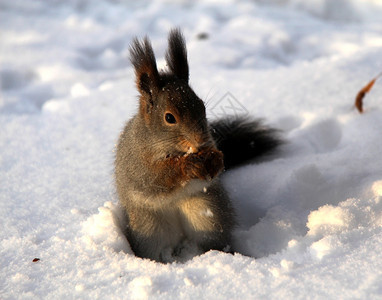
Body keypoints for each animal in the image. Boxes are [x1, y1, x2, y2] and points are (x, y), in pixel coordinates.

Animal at [113, 28, 280, 262]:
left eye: (202, 106)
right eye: (169, 117)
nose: (200, 139)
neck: (173, 149)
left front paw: (216, 159)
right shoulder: (137, 164)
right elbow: (155, 179)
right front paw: (186, 166)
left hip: (208, 213)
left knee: (213, 241)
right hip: (149, 227)